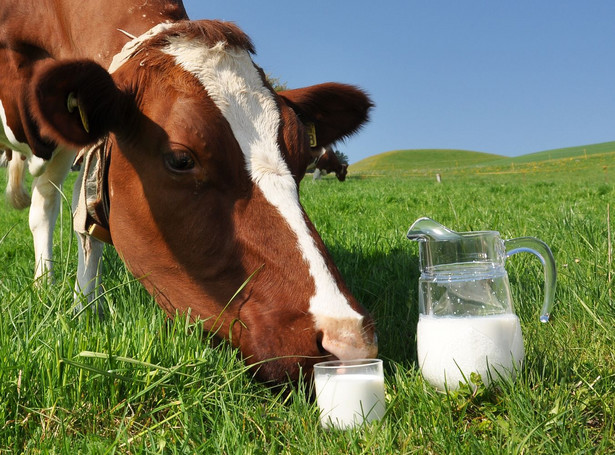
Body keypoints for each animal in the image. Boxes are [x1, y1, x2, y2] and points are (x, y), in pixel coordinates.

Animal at [0, 1, 378, 382]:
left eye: (302, 154)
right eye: (181, 159)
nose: (347, 340)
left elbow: (86, 215)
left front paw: (86, 308)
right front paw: (81, 307)